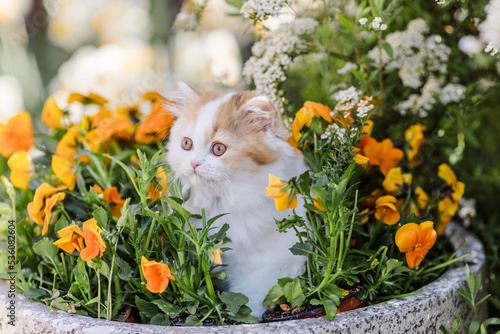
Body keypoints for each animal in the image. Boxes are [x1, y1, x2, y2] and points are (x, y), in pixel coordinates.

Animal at [163, 82, 308, 318]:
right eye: (186, 144)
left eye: (218, 148)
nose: (194, 163)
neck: (220, 203)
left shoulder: (269, 263)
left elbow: (250, 299)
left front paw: (241, 319)